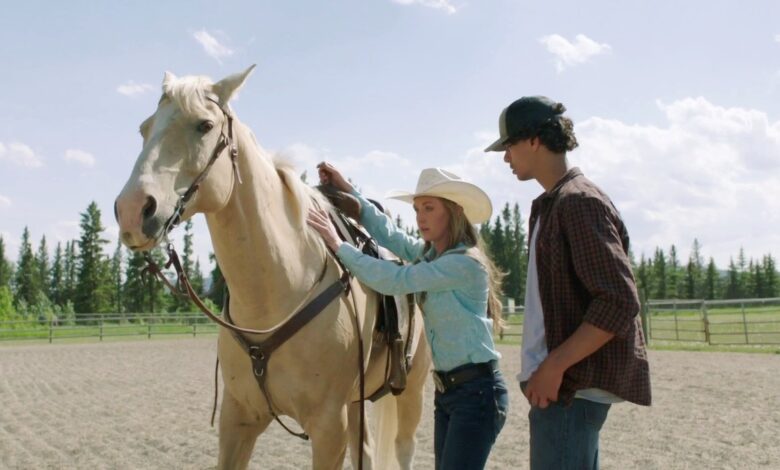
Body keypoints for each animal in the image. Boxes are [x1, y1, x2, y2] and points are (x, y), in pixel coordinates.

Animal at [115, 67, 430, 470]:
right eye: (144, 128)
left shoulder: (329, 428)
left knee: (404, 447)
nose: (132, 210)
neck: (276, 295)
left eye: (204, 125)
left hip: (412, 391)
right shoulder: (238, 418)